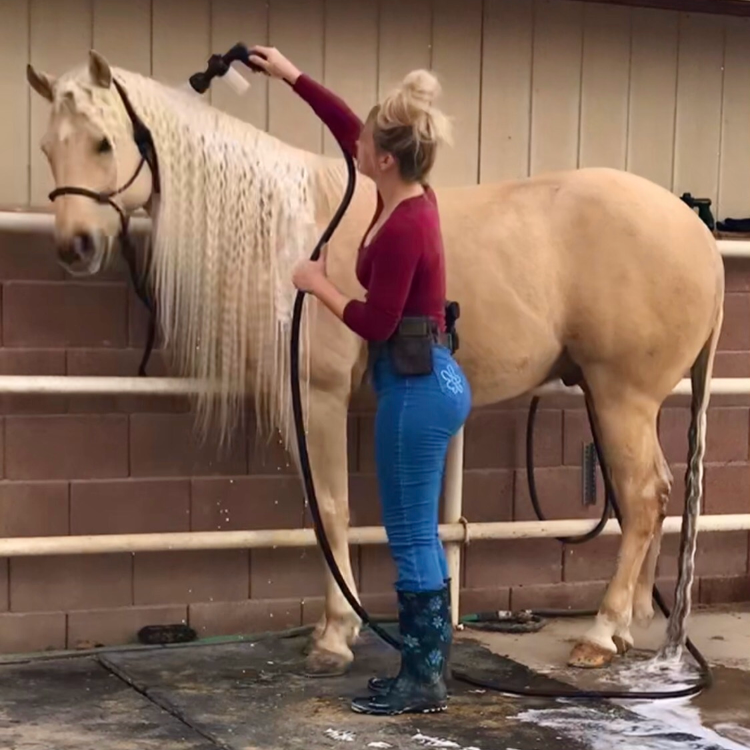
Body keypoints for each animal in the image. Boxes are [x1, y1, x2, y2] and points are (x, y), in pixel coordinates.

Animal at [26, 50, 724, 680]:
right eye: (47, 149)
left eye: (104, 143)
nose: (74, 247)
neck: (290, 229)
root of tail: (699, 235)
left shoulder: (319, 395)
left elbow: (331, 508)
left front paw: (335, 637)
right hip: (619, 403)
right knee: (653, 496)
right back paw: (628, 626)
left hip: (621, 398)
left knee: (640, 499)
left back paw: (601, 634)